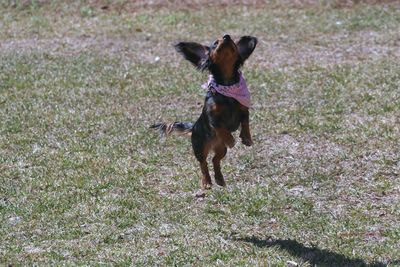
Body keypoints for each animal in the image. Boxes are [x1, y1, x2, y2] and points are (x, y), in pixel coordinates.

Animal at [150, 34, 256, 191]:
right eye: (215, 43)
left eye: (233, 43)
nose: (226, 36)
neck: (227, 86)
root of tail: (193, 127)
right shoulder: (213, 117)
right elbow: (222, 128)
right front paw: (231, 139)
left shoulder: (244, 110)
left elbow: (245, 123)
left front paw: (247, 139)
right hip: (200, 147)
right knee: (203, 163)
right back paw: (206, 182)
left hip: (221, 149)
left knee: (215, 160)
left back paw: (219, 179)